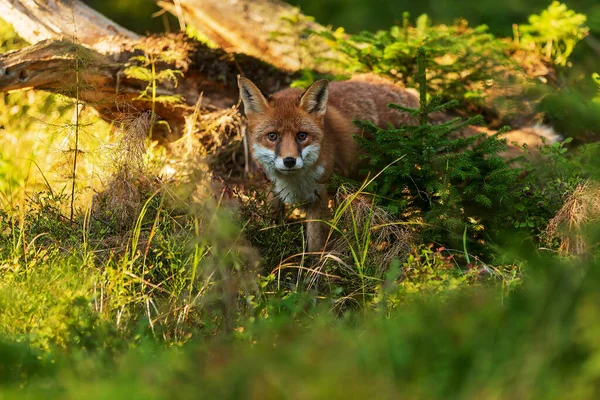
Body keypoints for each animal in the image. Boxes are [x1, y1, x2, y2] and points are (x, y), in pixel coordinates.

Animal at [237, 73, 560, 252]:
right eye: (272, 136)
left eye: (302, 136)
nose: (289, 161)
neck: (295, 182)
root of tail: (412, 96)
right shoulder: (273, 194)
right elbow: (268, 229)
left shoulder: (320, 200)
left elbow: (314, 252)